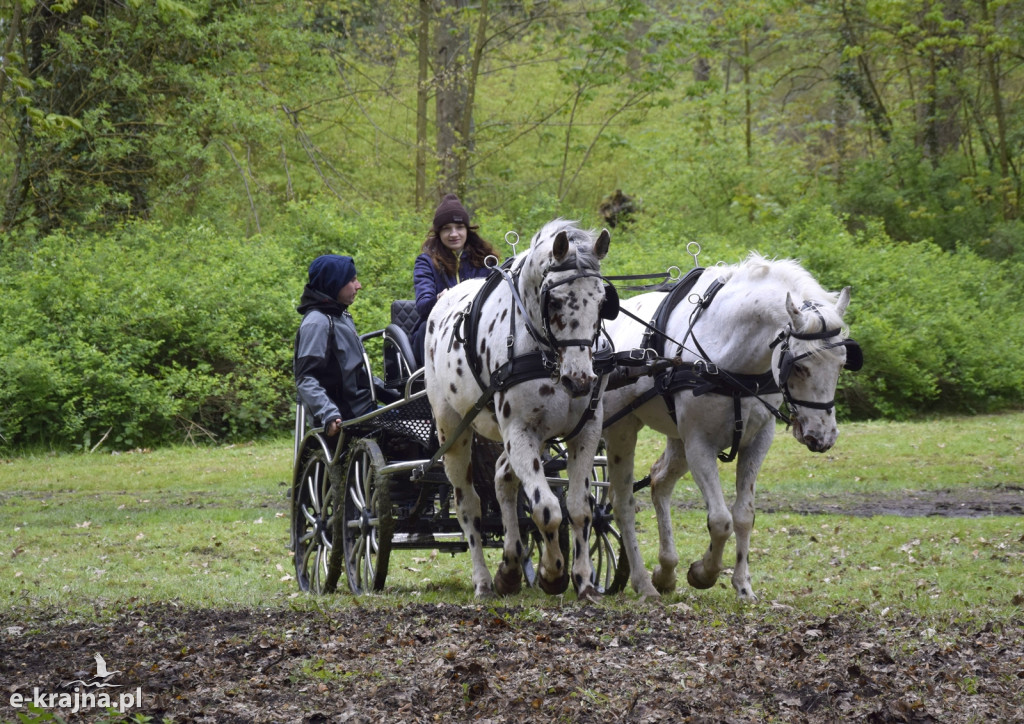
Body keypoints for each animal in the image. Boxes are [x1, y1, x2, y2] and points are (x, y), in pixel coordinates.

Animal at [421, 219, 610, 602]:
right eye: (555, 300)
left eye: (602, 301)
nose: (580, 380)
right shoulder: (520, 431)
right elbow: (547, 509)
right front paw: (553, 573)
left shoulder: (584, 432)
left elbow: (579, 509)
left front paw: (584, 580)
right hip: (454, 432)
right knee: (470, 506)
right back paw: (483, 581)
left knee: (502, 479)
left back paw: (509, 568)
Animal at [602, 251, 860, 602]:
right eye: (800, 367)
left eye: (843, 362)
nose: (822, 436)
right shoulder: (700, 444)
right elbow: (721, 520)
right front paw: (704, 572)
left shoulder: (758, 439)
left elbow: (743, 515)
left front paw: (742, 585)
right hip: (621, 430)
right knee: (623, 504)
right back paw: (642, 582)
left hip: (676, 437)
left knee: (659, 482)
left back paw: (665, 572)